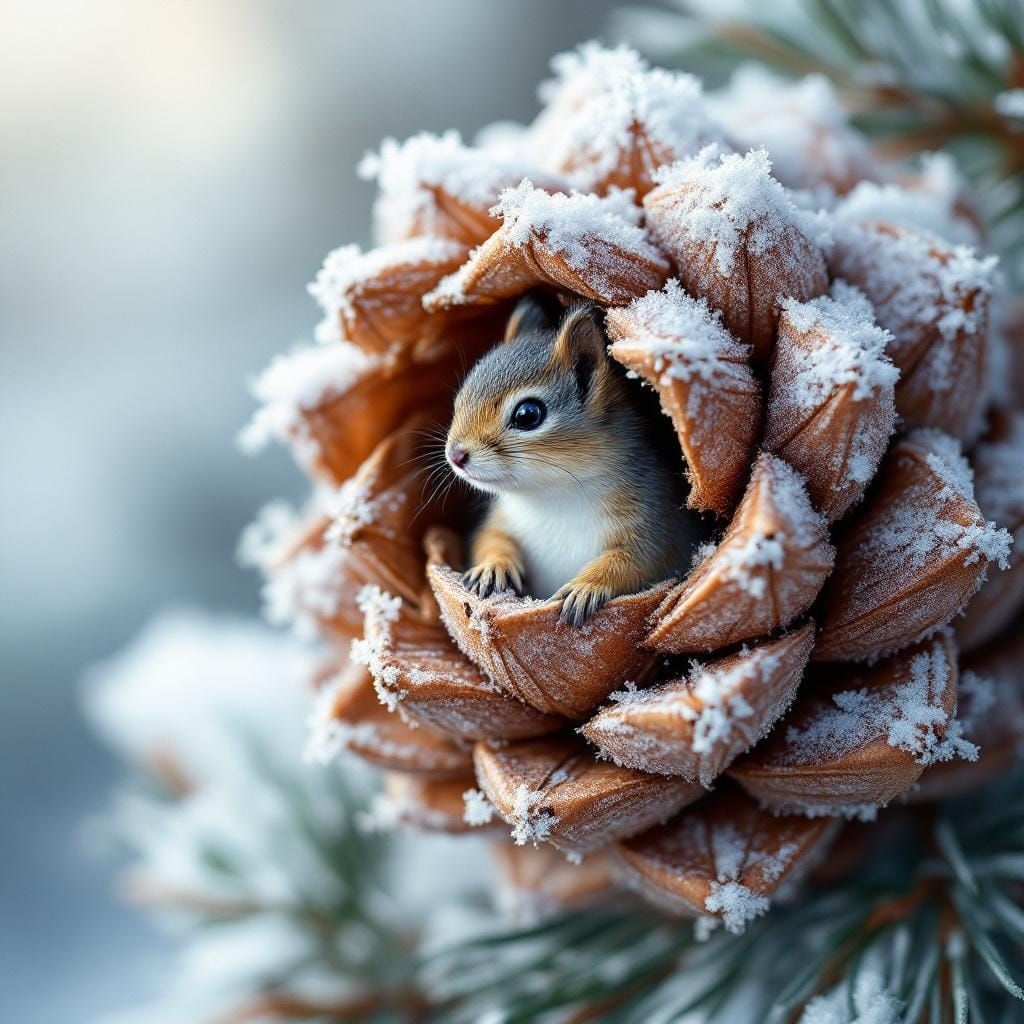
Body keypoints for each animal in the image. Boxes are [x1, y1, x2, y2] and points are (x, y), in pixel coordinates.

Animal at [444, 292, 692, 625]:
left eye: (528, 415)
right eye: (459, 399)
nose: (455, 455)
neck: (553, 497)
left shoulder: (658, 524)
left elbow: (636, 561)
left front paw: (586, 586)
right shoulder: (503, 518)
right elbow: (490, 537)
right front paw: (493, 566)